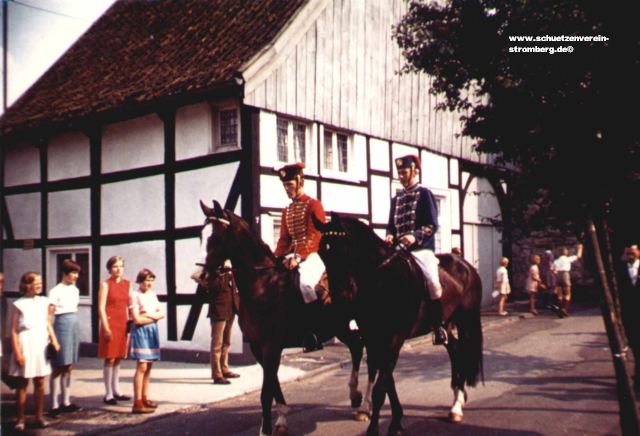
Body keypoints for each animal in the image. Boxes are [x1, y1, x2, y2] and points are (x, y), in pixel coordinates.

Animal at [190, 202, 376, 436]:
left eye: (217, 237)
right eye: (200, 235)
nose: (199, 276)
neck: (263, 285)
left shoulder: (271, 346)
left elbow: (266, 391)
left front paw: (266, 429)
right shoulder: (259, 348)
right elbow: (274, 383)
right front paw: (281, 421)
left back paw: (366, 406)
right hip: (340, 327)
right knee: (357, 347)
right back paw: (355, 397)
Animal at [312, 214, 482, 436]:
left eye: (345, 248)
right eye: (322, 251)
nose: (337, 296)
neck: (383, 281)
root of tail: (465, 265)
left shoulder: (394, 339)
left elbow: (381, 387)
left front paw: (375, 428)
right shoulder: (374, 338)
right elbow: (386, 380)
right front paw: (395, 422)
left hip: (464, 320)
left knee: (462, 351)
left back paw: (457, 407)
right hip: (444, 324)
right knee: (454, 350)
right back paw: (457, 401)